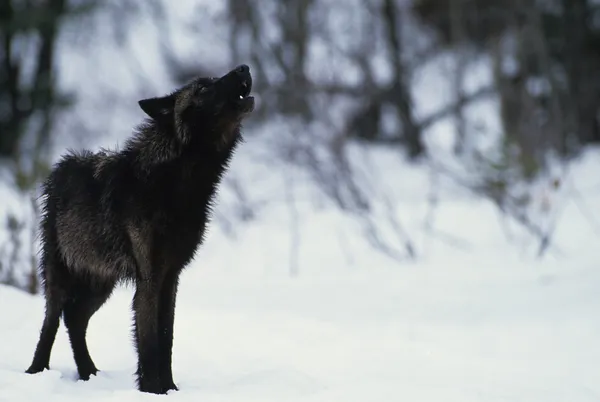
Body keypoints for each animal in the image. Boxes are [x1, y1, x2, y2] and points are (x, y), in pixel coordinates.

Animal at [24, 64, 254, 394]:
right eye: (202, 89)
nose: (244, 67)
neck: (176, 186)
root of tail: (59, 169)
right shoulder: (149, 278)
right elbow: (148, 343)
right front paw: (151, 390)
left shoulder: (171, 277)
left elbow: (167, 338)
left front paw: (170, 389)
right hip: (60, 279)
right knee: (52, 321)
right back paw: (37, 372)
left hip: (101, 282)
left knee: (75, 319)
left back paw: (88, 373)